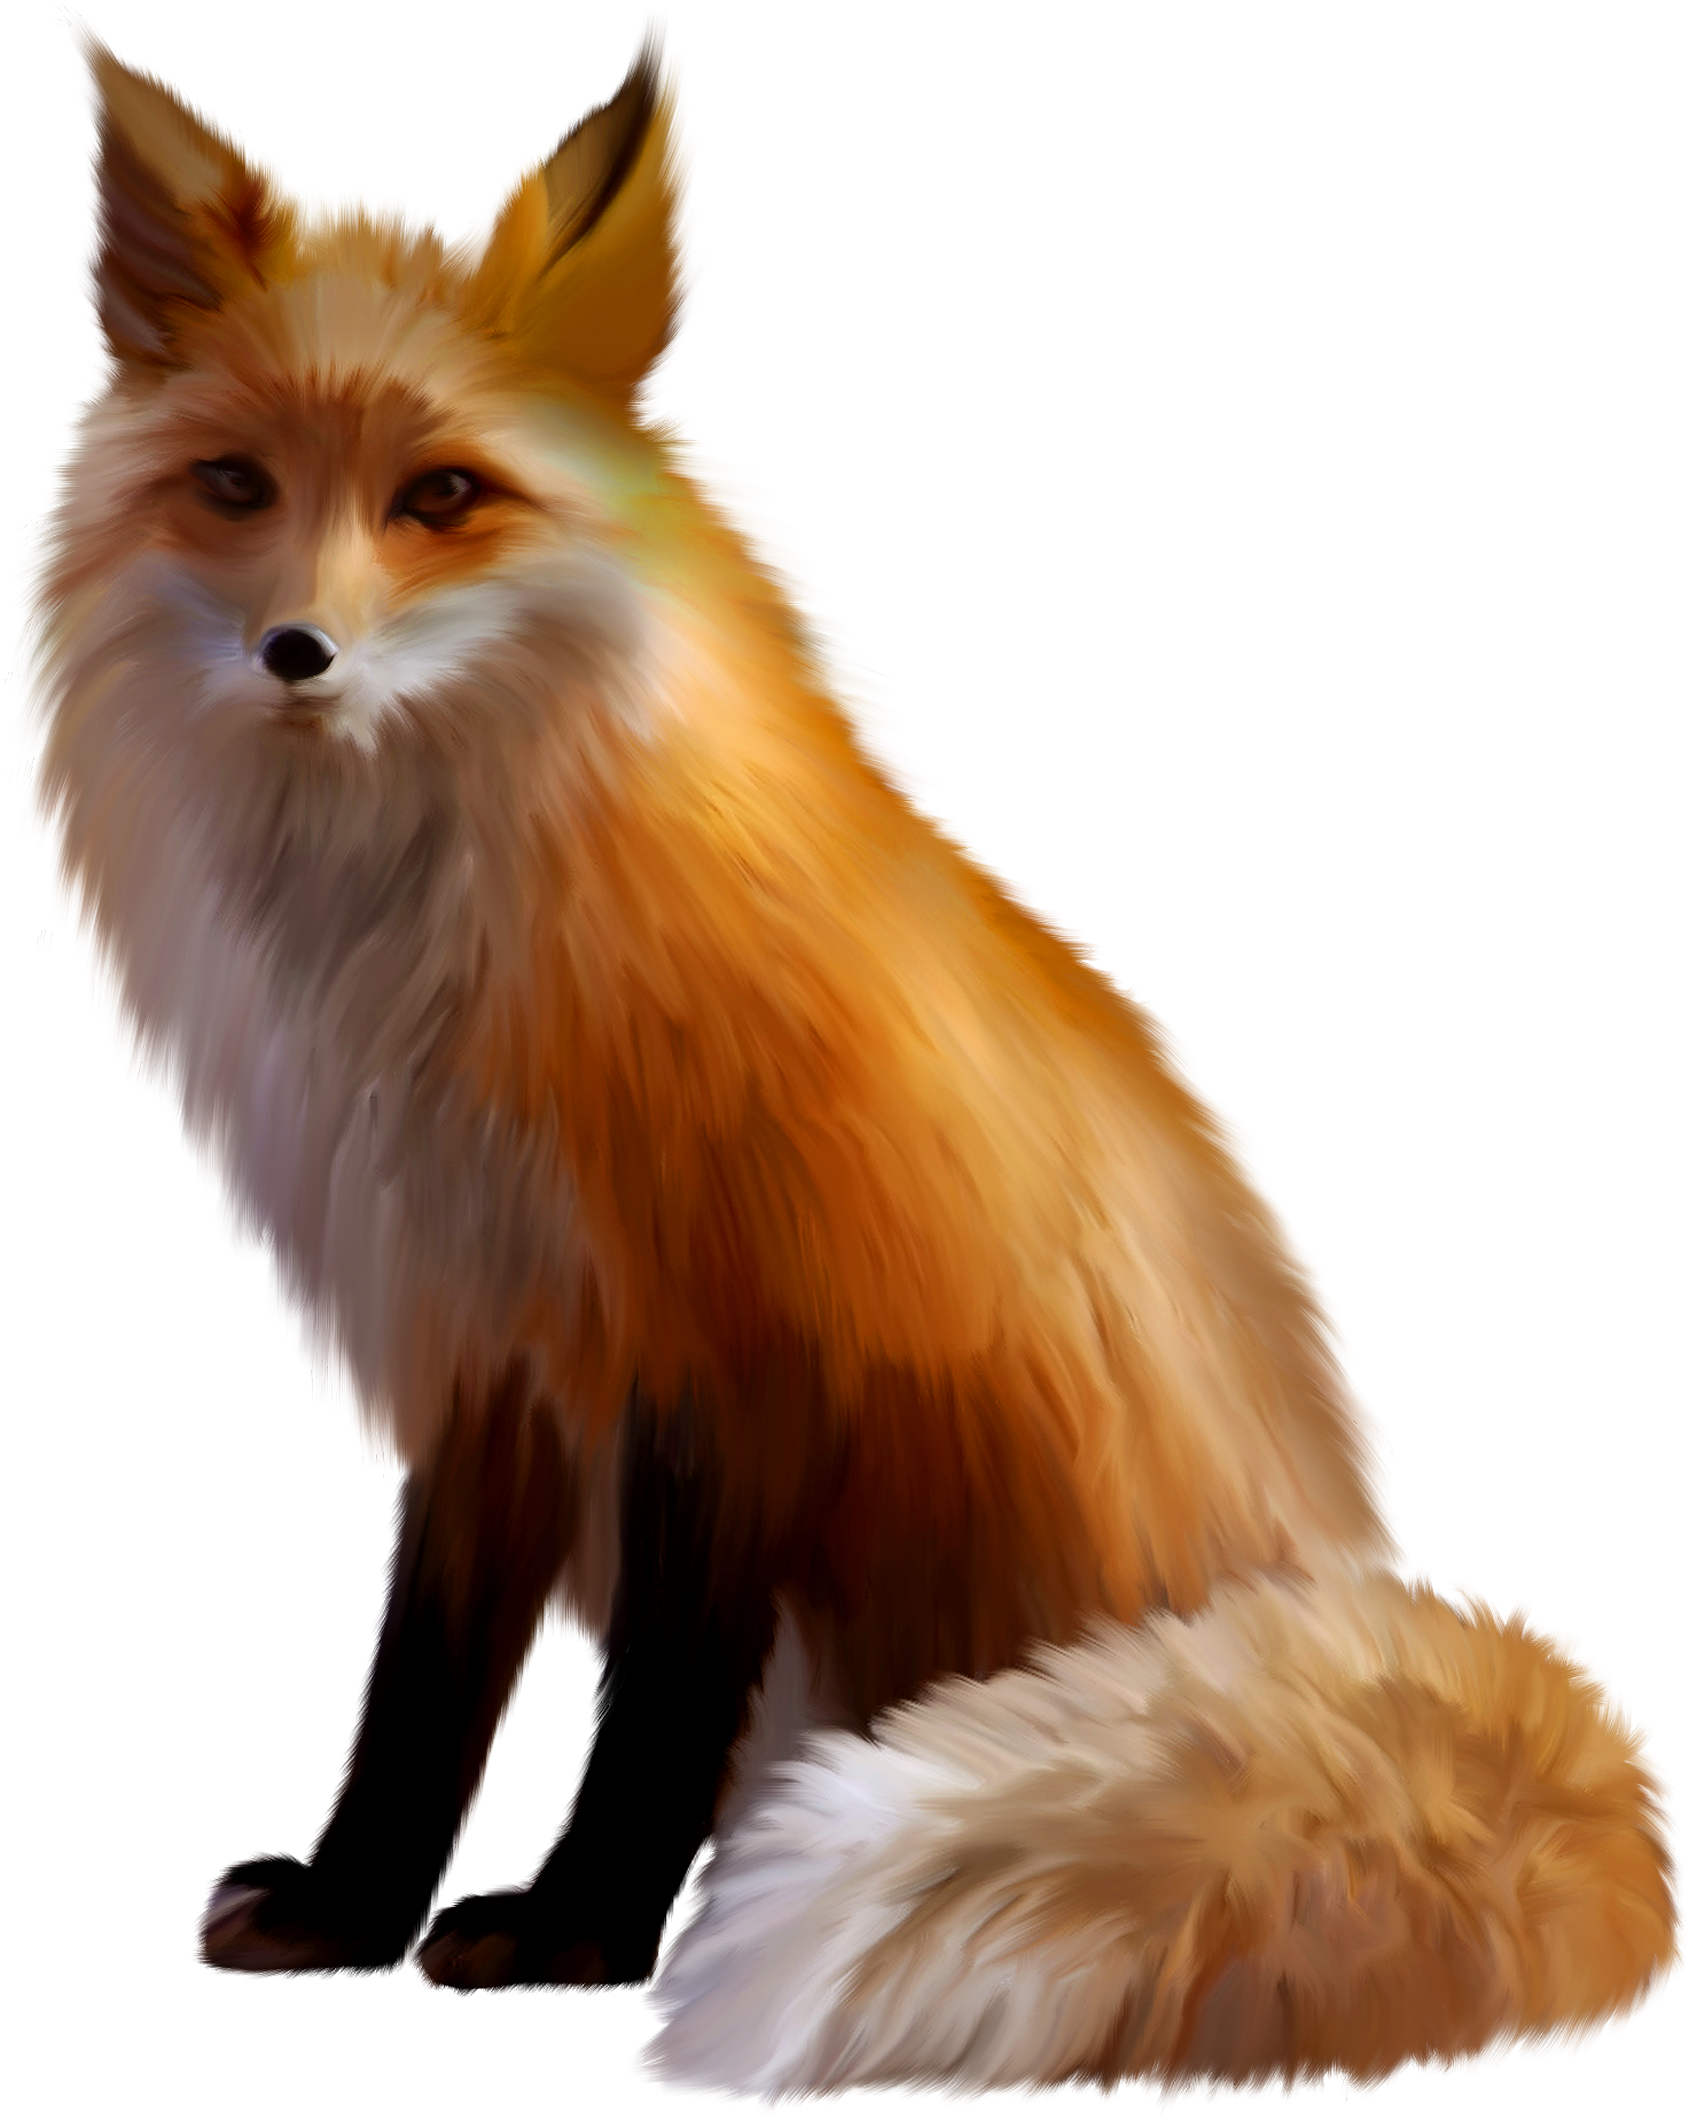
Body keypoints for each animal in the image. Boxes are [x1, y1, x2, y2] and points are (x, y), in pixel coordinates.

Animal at [12, 8, 1685, 2106]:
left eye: (441, 496)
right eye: (235, 483)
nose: (295, 651)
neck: (444, 973)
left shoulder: (749, 1348)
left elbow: (650, 1711)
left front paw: (566, 1961)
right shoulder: (497, 1335)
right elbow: (430, 1672)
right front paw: (353, 1915)